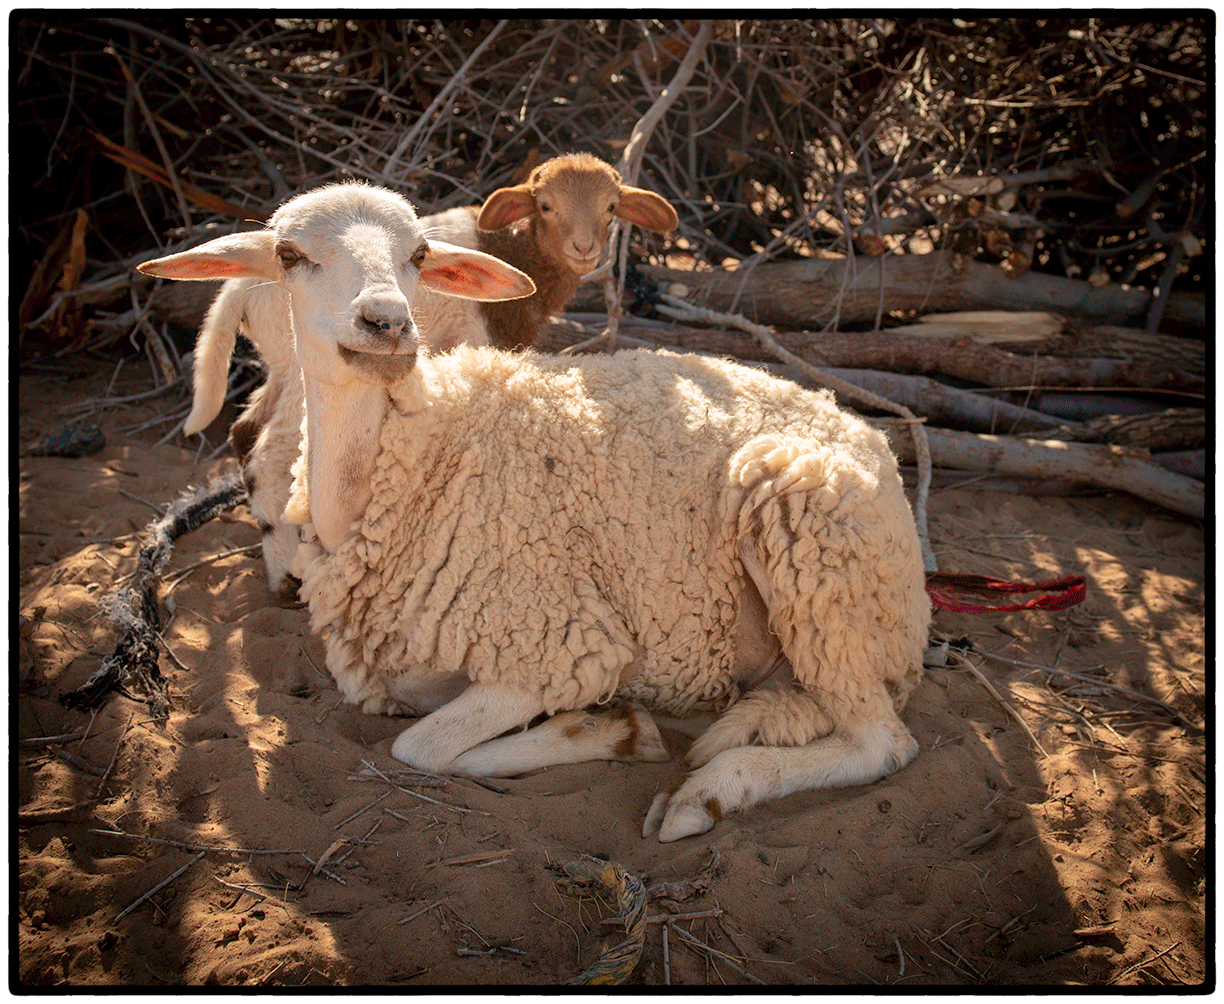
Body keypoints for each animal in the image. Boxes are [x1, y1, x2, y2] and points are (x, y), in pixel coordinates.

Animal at [176, 153, 675, 595]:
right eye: (546, 206)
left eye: (611, 207)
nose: (585, 251)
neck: (513, 249)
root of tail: (238, 288)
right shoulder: (474, 336)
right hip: (306, 366)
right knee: (268, 454)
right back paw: (283, 573)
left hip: (281, 366)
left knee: (244, 431)